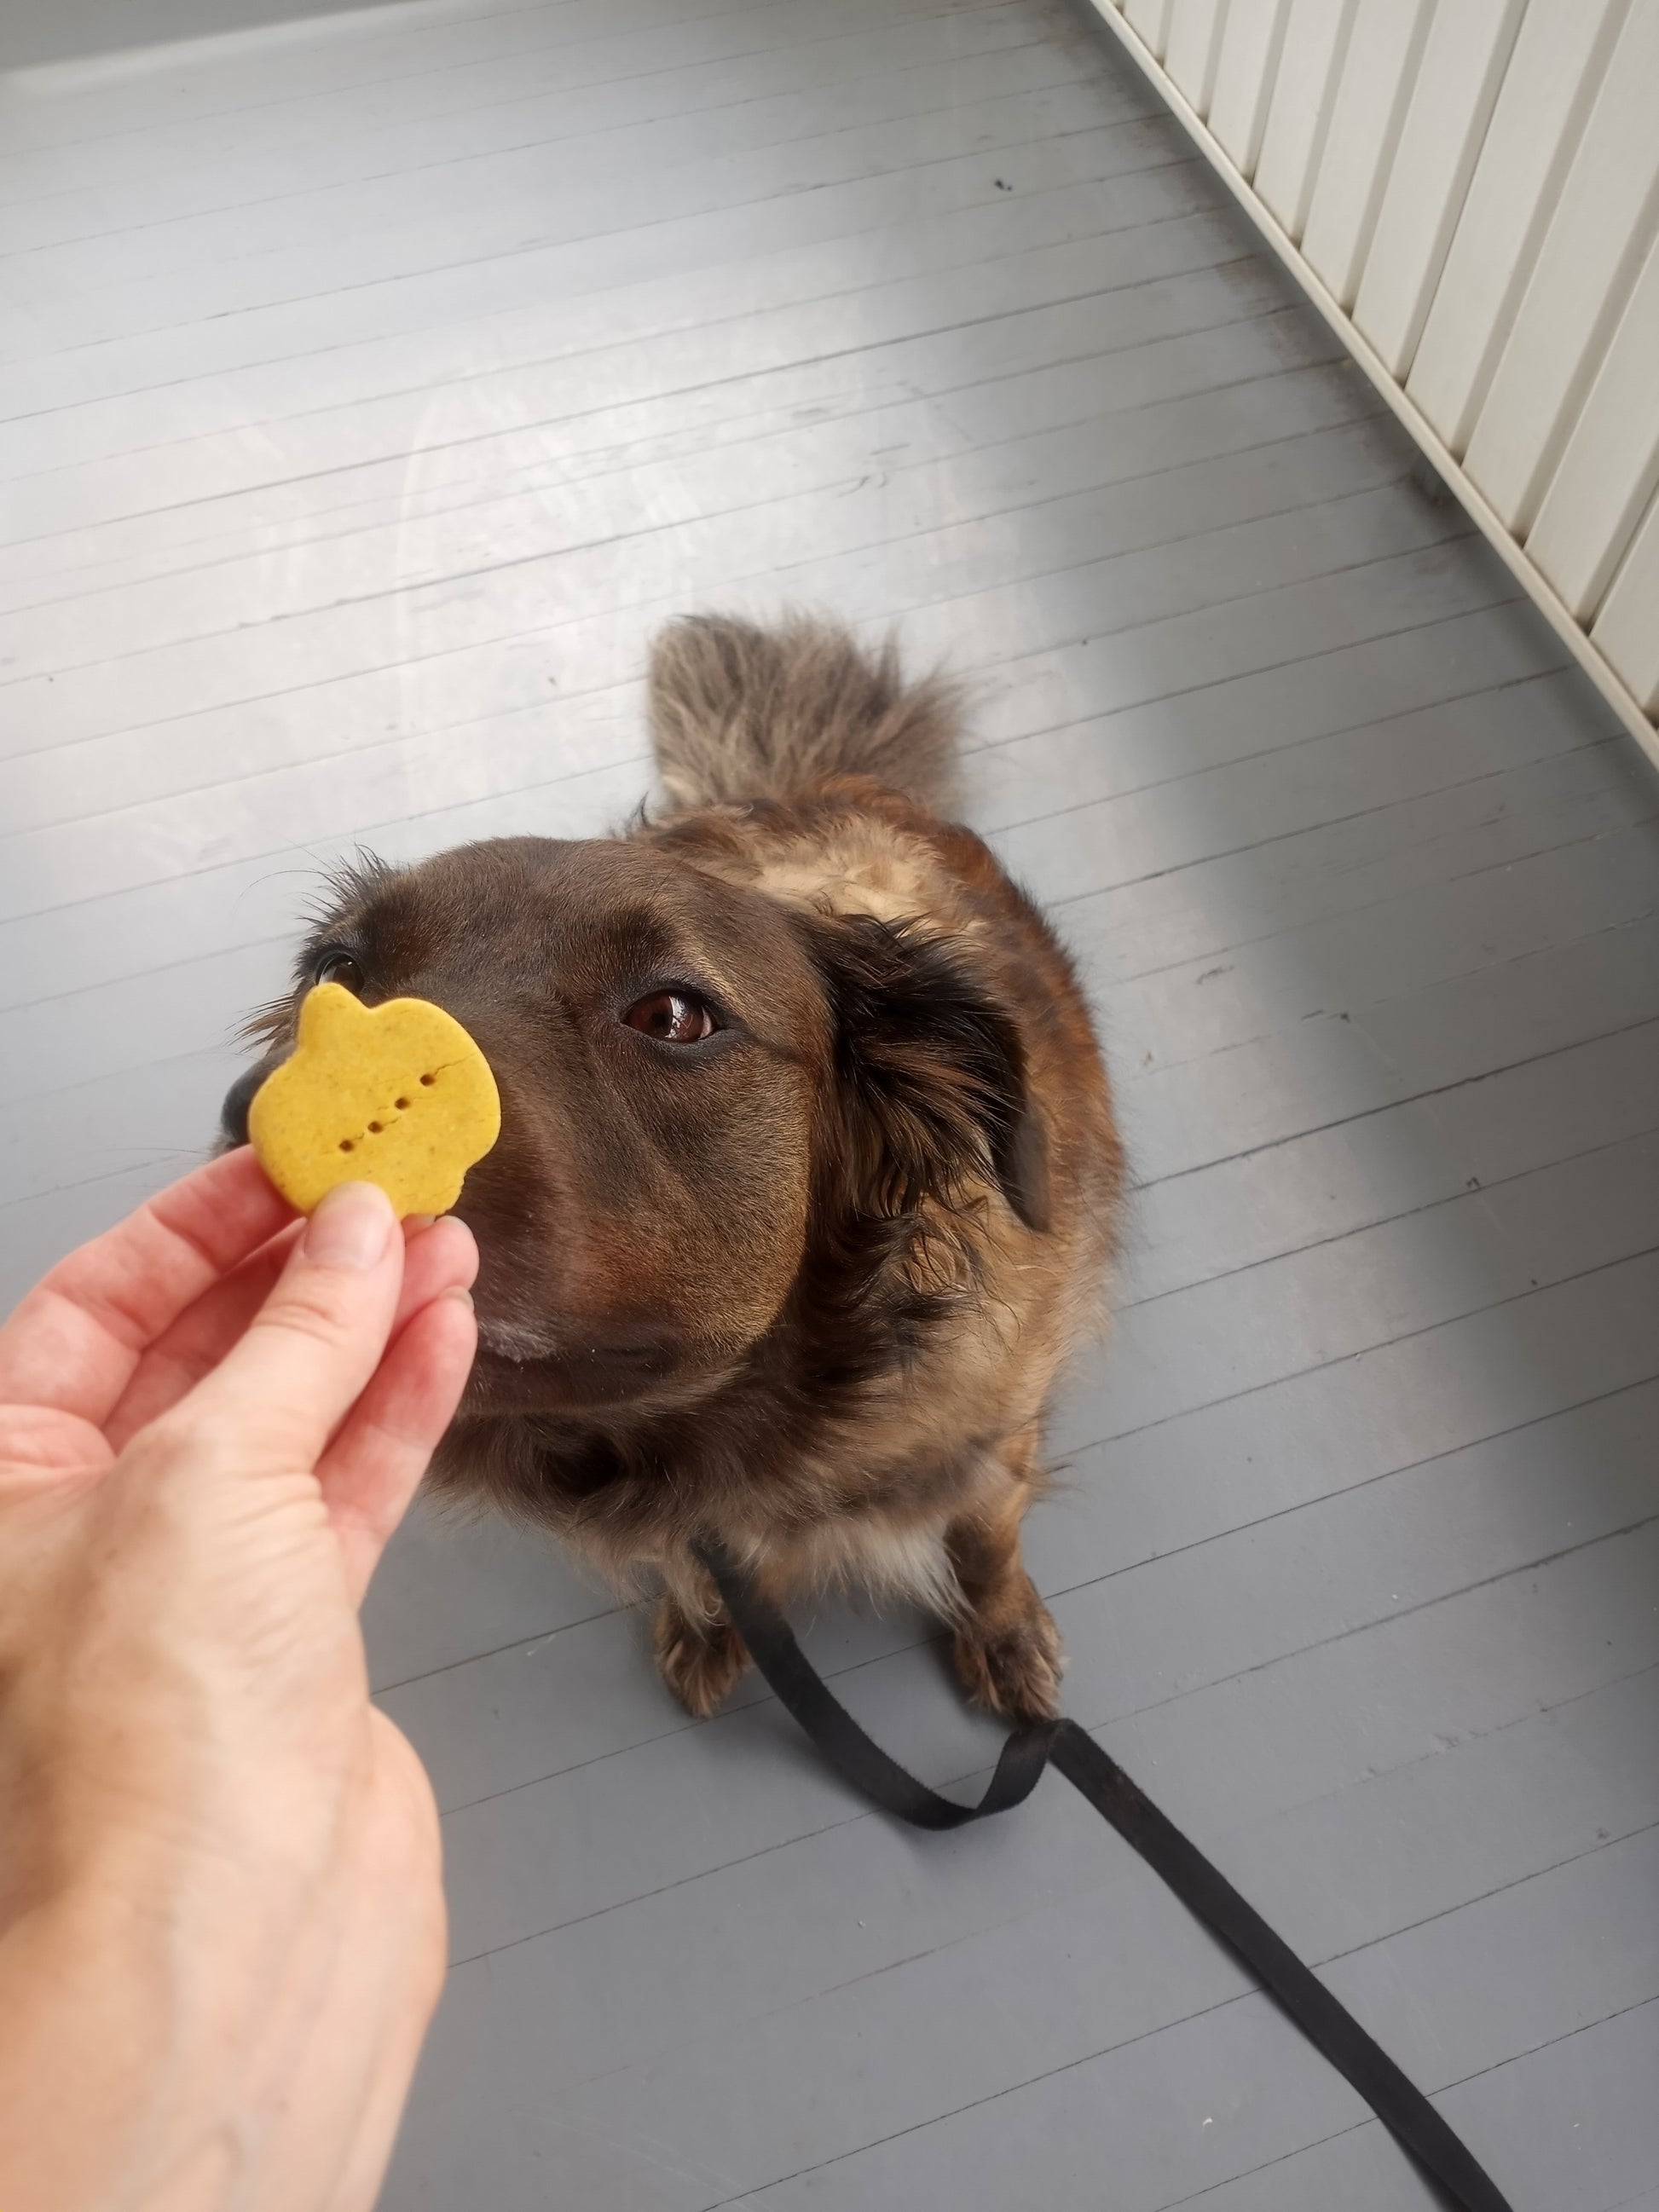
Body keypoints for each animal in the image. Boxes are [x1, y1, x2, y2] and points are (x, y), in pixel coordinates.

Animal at [224, 615, 1132, 1716]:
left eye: (672, 1016)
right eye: (337, 974)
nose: (252, 1130)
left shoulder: (990, 1445)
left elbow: (985, 1545)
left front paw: (1000, 1632)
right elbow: (714, 1568)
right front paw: (711, 1623)